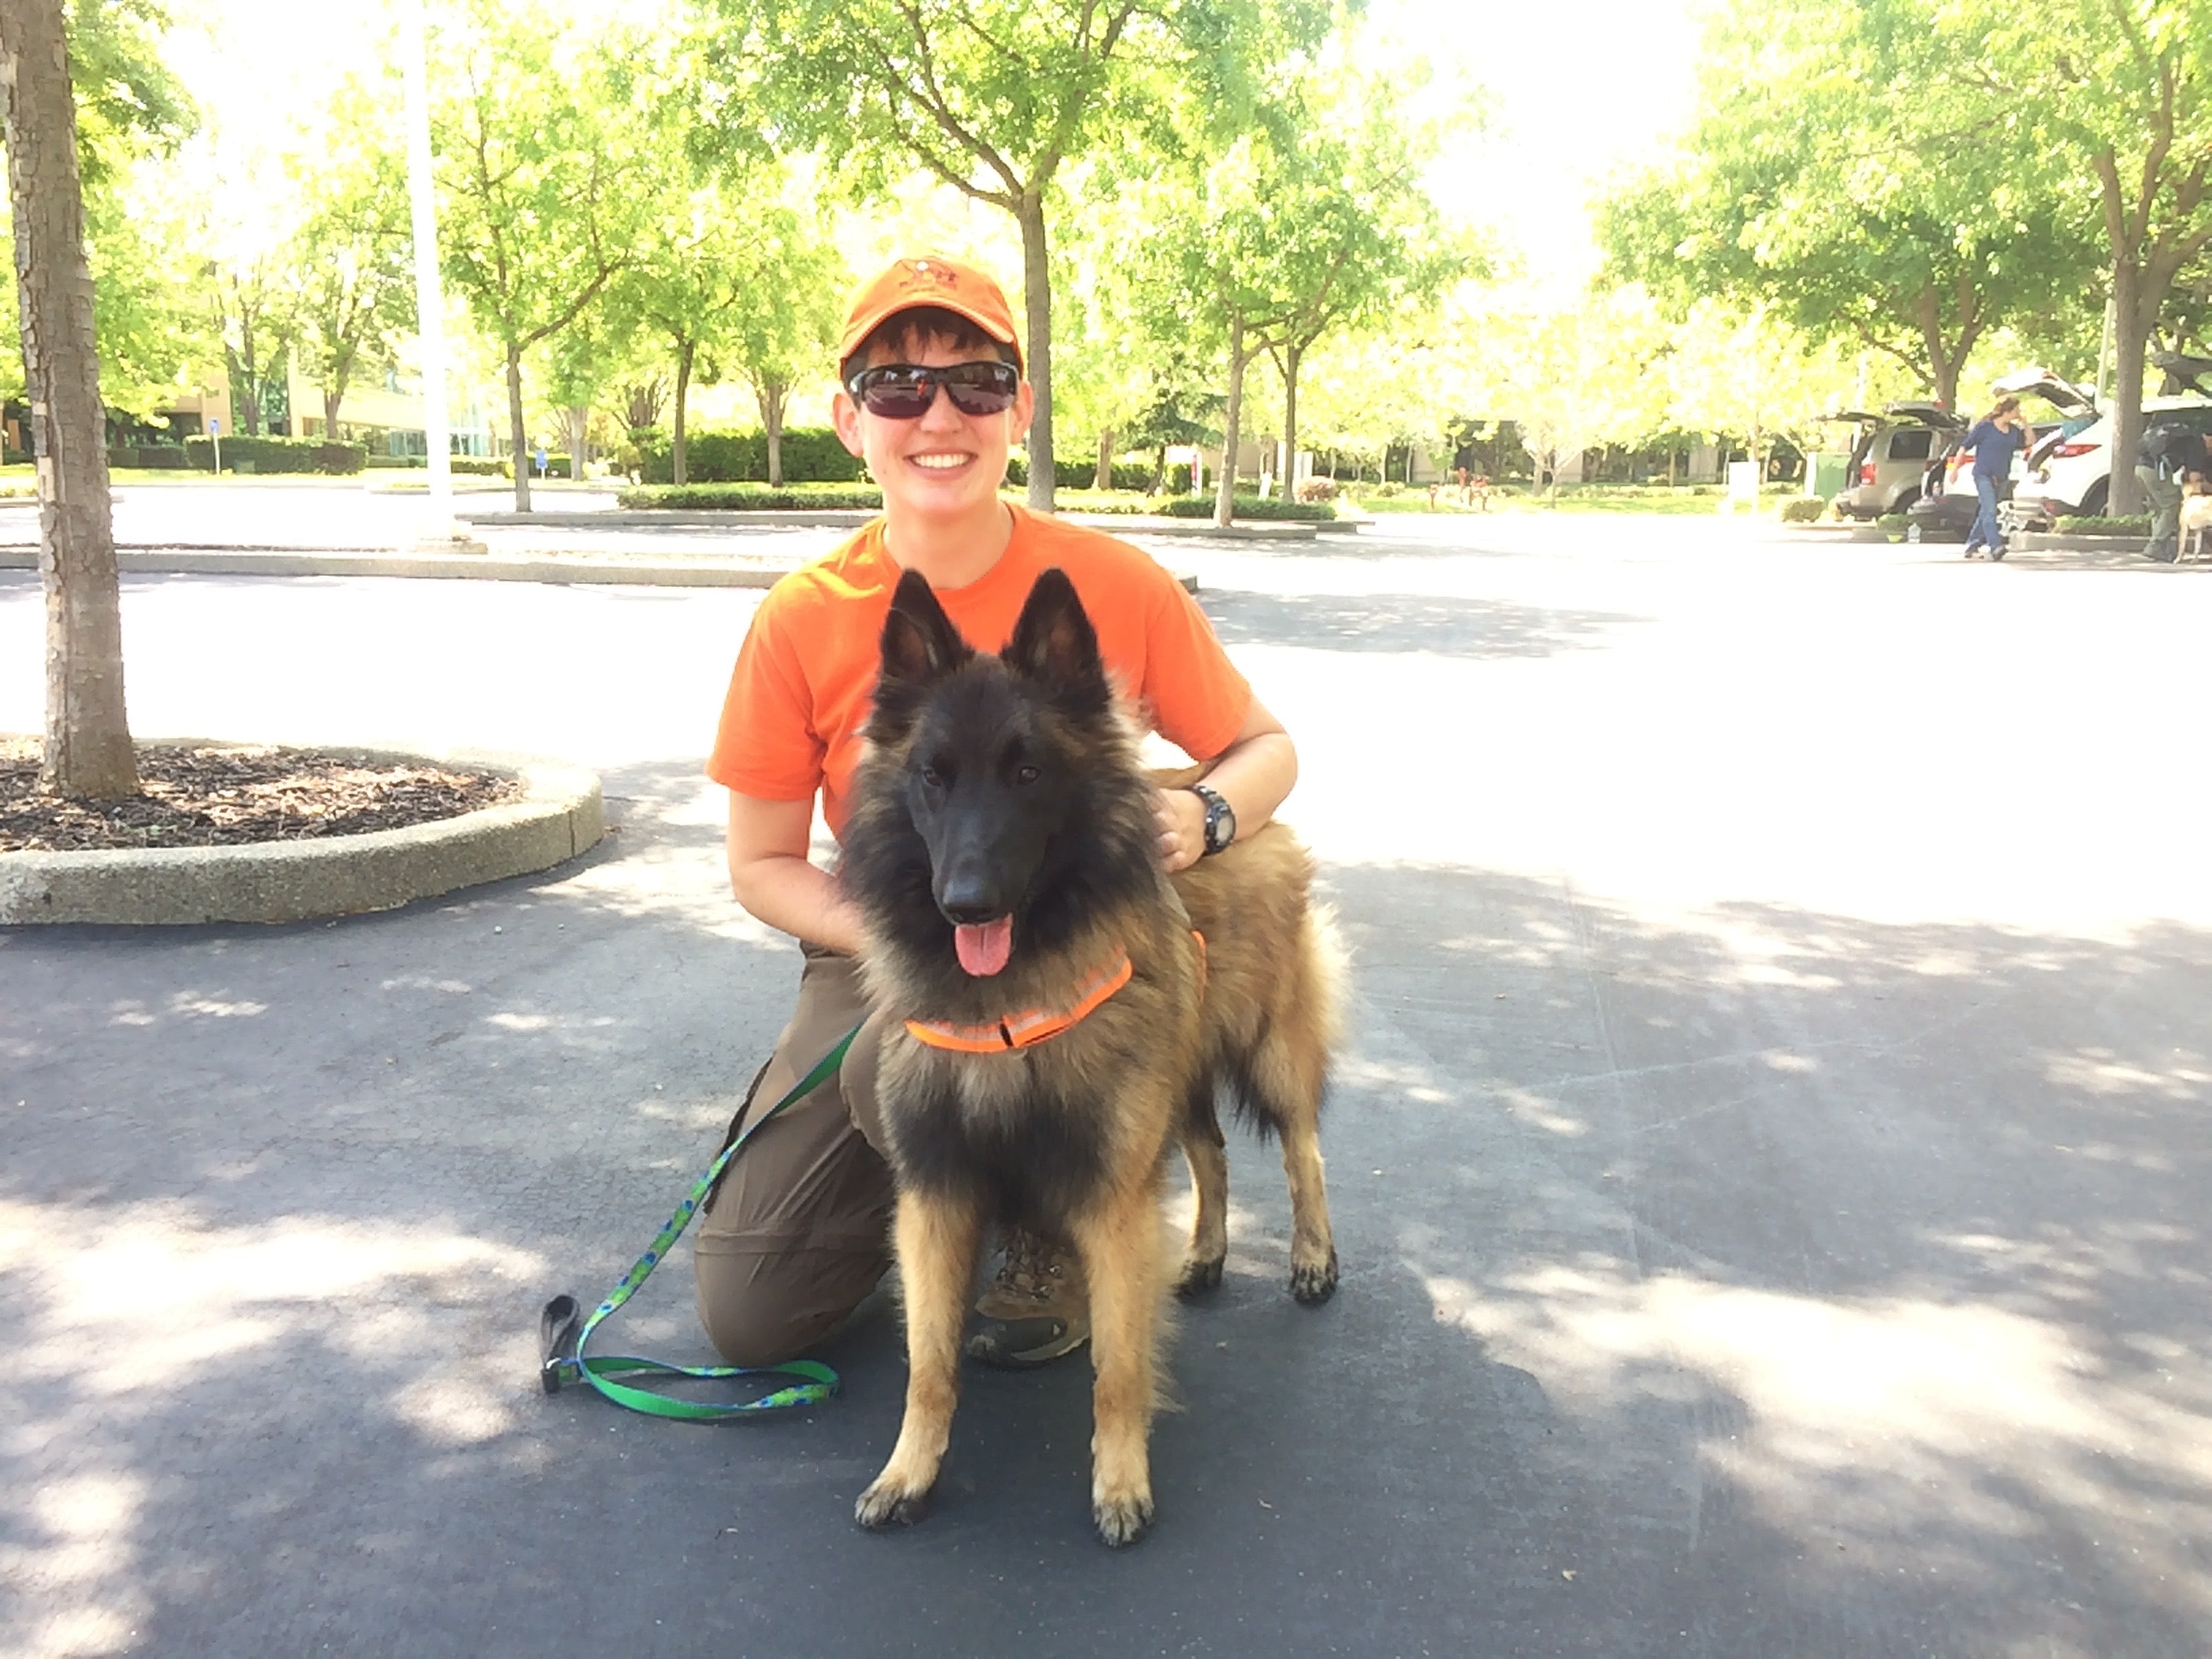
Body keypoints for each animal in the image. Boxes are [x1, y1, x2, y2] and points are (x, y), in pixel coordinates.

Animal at [836, 571, 1336, 1548]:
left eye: (1028, 773)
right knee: (1212, 1152)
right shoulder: (938, 1192)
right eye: (932, 778)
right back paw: (1209, 1253)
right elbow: (928, 1365)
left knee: (1304, 1149)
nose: (965, 904)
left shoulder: (1113, 1197)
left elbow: (1119, 1365)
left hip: (1268, 1050)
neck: (1005, 1004)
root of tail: (1217, 794)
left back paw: (1311, 1258)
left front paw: (1120, 1483)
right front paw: (909, 1474)